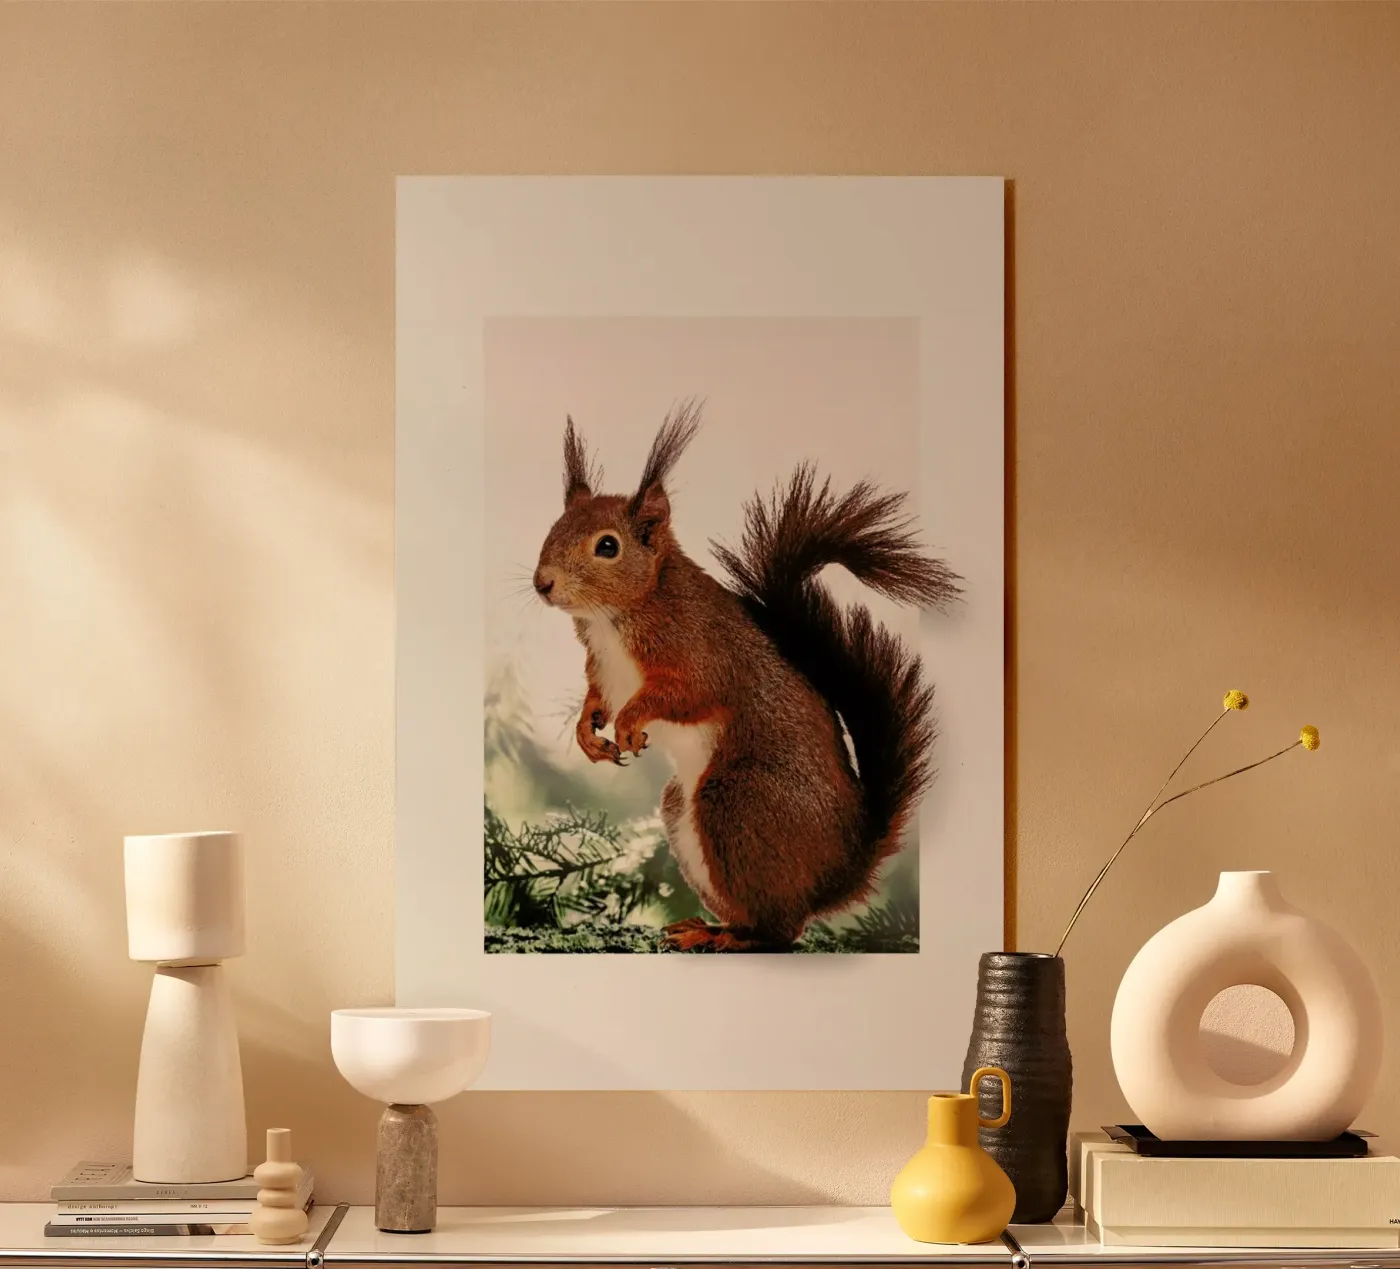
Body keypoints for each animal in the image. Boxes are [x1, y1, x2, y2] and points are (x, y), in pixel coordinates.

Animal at [532, 401, 961, 952]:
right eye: (555, 526)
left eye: (608, 546)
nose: (542, 583)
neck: (615, 618)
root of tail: (840, 873)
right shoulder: (601, 668)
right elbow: (595, 697)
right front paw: (588, 733)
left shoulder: (702, 653)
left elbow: (686, 694)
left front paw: (629, 722)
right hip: (686, 811)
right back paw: (709, 927)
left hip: (737, 801)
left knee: (781, 932)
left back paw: (732, 939)